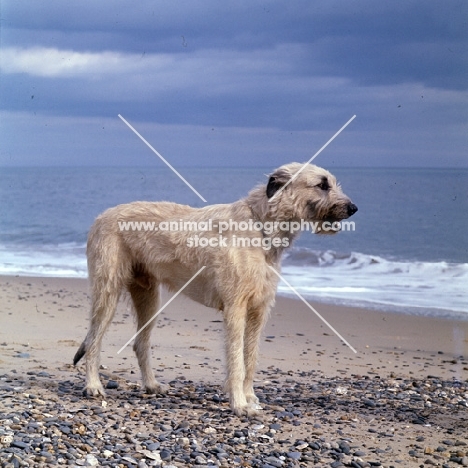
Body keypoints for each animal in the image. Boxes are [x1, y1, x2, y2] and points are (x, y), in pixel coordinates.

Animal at [74, 163, 358, 414]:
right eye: (322, 184)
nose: (353, 208)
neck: (259, 226)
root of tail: (101, 216)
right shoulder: (235, 308)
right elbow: (236, 358)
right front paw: (240, 404)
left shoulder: (258, 309)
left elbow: (250, 357)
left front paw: (249, 397)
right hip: (107, 290)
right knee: (94, 339)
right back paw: (93, 385)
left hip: (149, 297)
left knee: (140, 343)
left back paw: (151, 384)